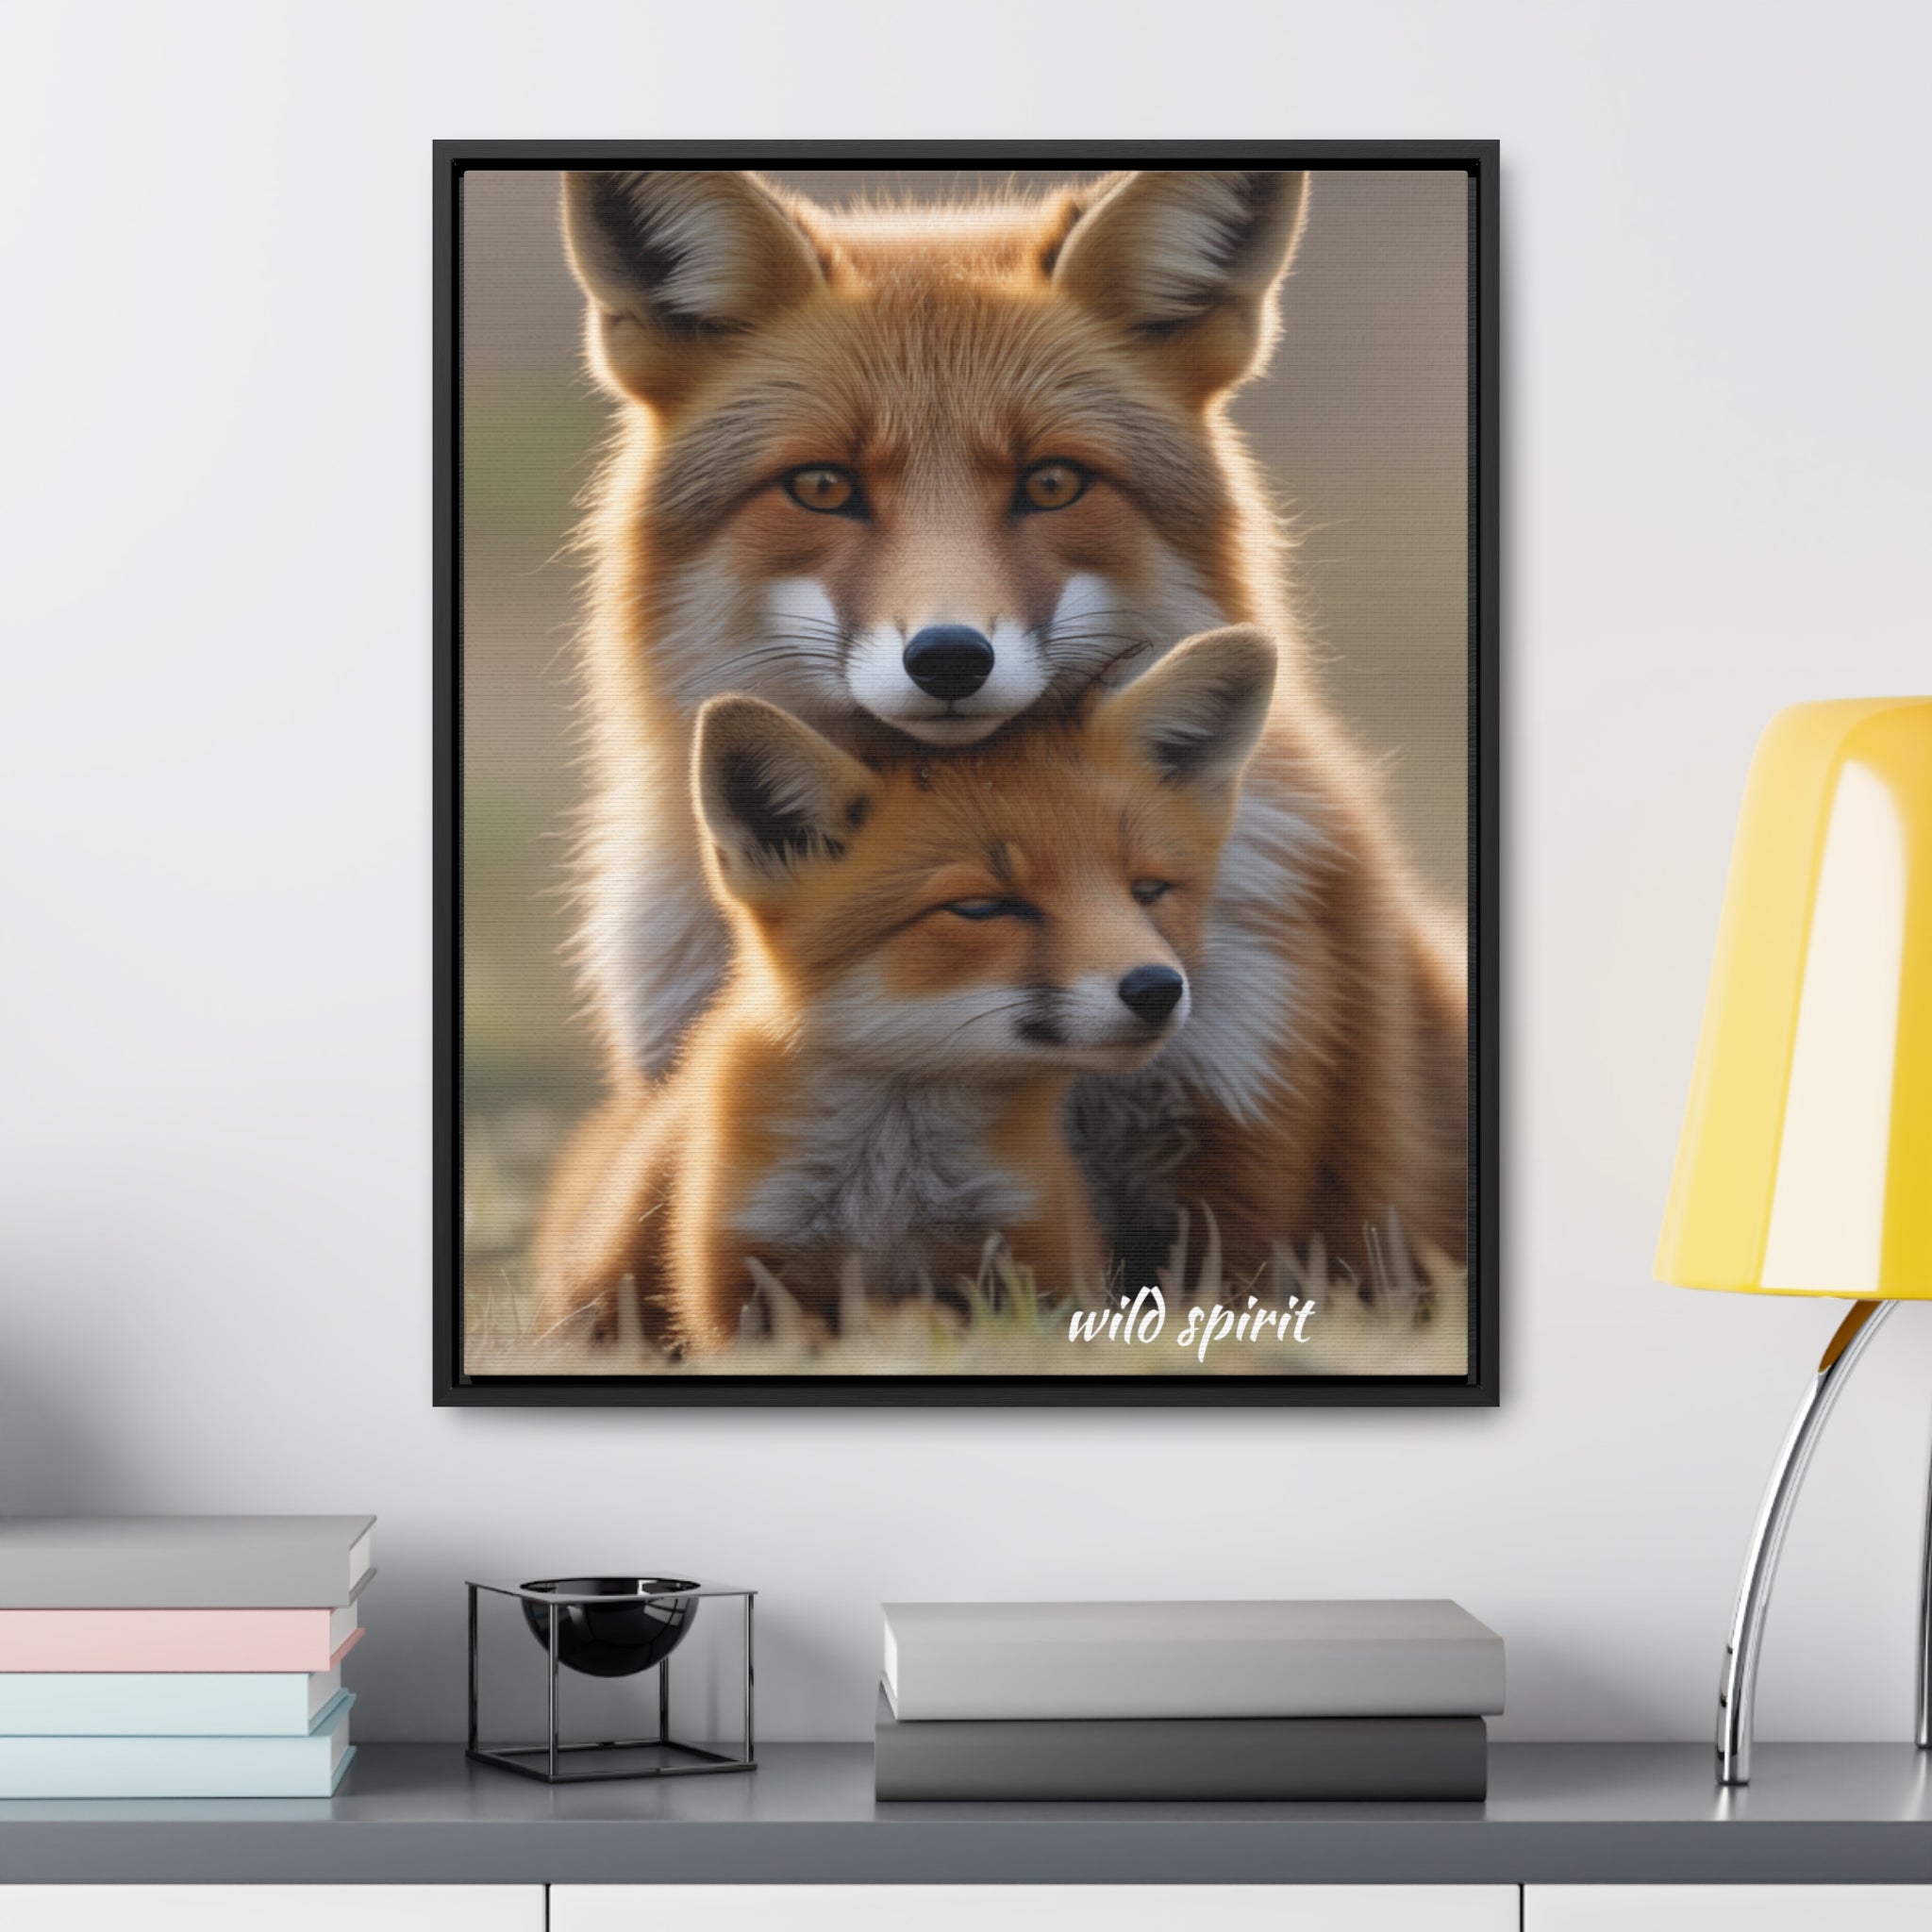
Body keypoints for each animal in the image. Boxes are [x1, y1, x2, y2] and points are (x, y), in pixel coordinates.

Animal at [533, 628, 1276, 1350]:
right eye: (981, 907)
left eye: (1148, 891)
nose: (1157, 989)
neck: (890, 1192)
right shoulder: (743, 1281)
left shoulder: (1037, 1262)